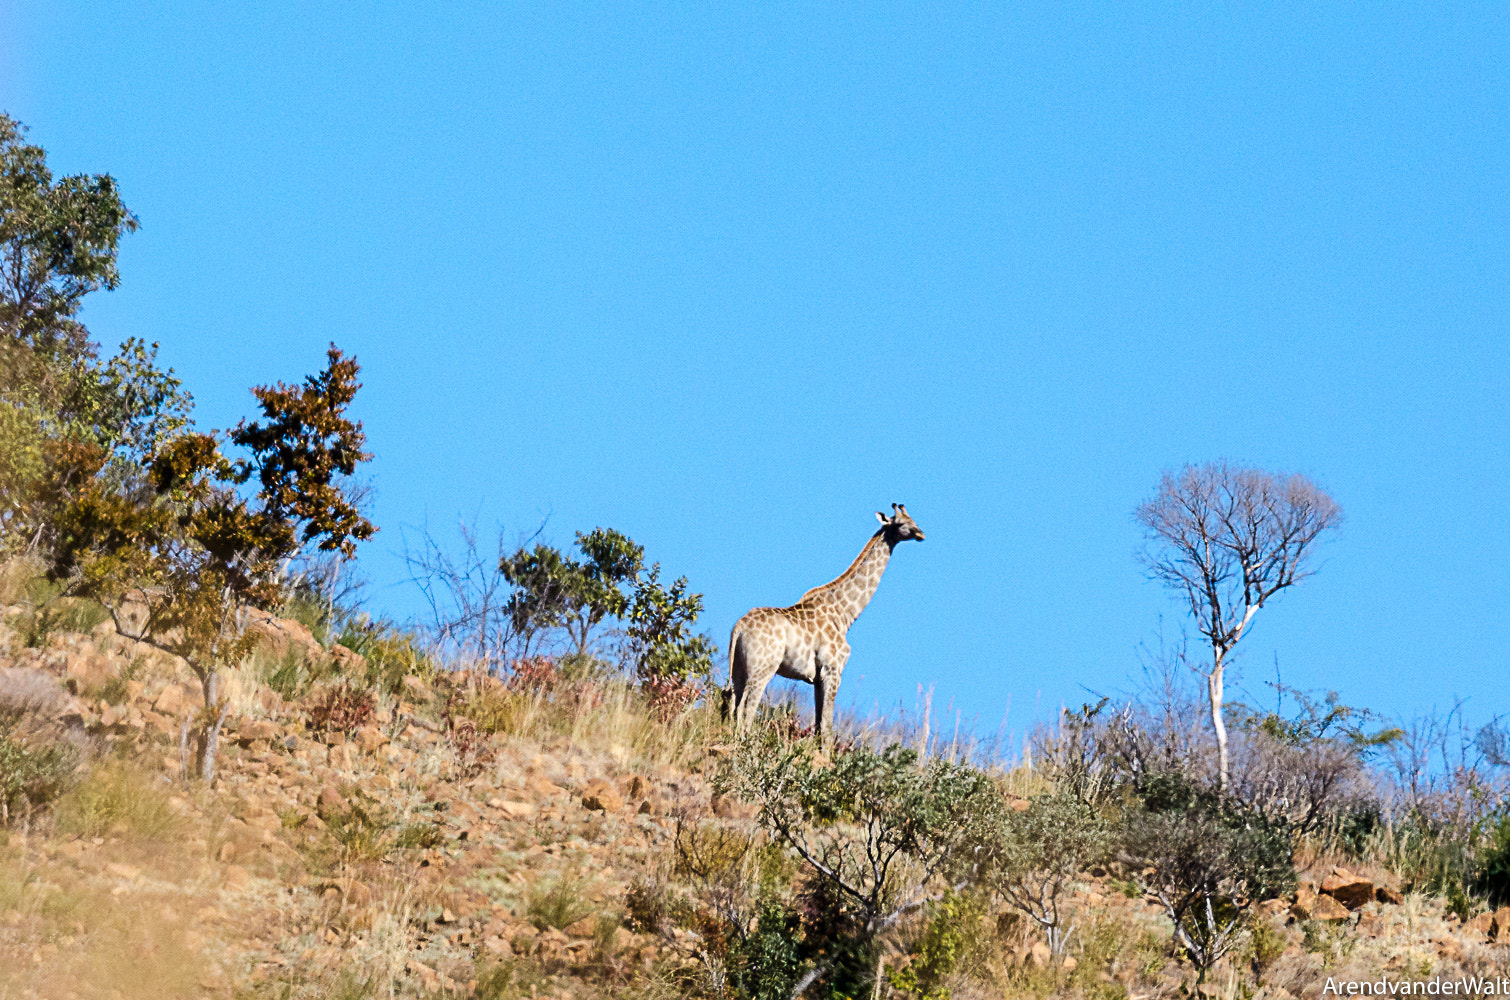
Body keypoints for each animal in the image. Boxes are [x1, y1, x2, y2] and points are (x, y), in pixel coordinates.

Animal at [728, 504, 925, 742]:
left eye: (914, 520)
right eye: (902, 523)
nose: (921, 534)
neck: (845, 614)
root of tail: (739, 627)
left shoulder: (816, 677)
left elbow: (819, 725)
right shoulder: (833, 670)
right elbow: (828, 727)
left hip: (738, 667)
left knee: (733, 703)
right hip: (763, 667)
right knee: (747, 707)